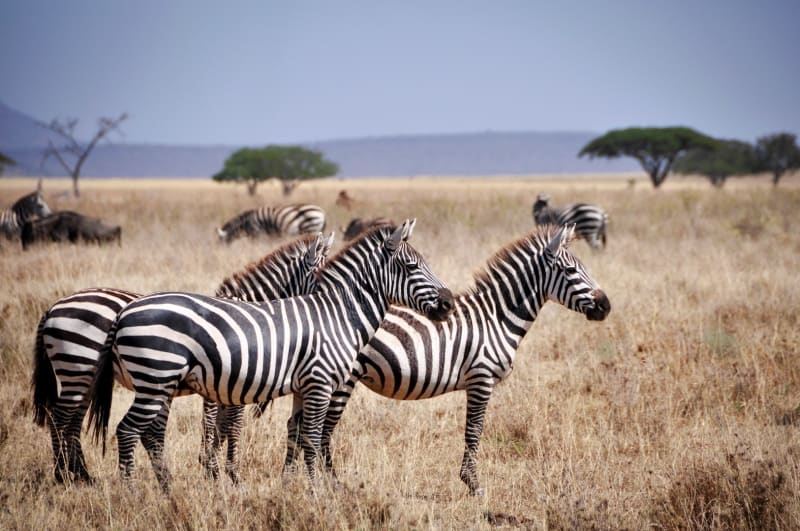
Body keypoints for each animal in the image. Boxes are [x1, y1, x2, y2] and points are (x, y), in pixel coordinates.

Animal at [32, 233, 333, 484]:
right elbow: (227, 425)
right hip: (78, 367)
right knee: (60, 418)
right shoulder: (229, 380)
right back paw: (63, 475)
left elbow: (220, 426)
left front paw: (211, 467)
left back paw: (81, 474)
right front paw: (225, 472)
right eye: (323, 279)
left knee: (72, 421)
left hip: (84, 374)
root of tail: (53, 307)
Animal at [87, 220, 454, 490]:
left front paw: (291, 485)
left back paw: (162, 490)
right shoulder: (319, 383)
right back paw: (132, 492)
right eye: (411, 266)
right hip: (155, 377)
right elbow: (312, 436)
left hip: (158, 383)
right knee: (127, 430)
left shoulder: (304, 386)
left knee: (143, 432)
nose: (449, 303)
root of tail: (125, 312)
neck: (336, 315)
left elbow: (298, 434)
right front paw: (315, 490)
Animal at [282, 224, 611, 496]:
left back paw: (293, 480)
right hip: (341, 380)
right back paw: (332, 484)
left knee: (298, 426)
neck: (497, 317)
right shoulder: (481, 379)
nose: (606, 306)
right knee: (322, 430)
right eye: (570, 271)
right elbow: (474, 431)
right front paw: (473, 484)